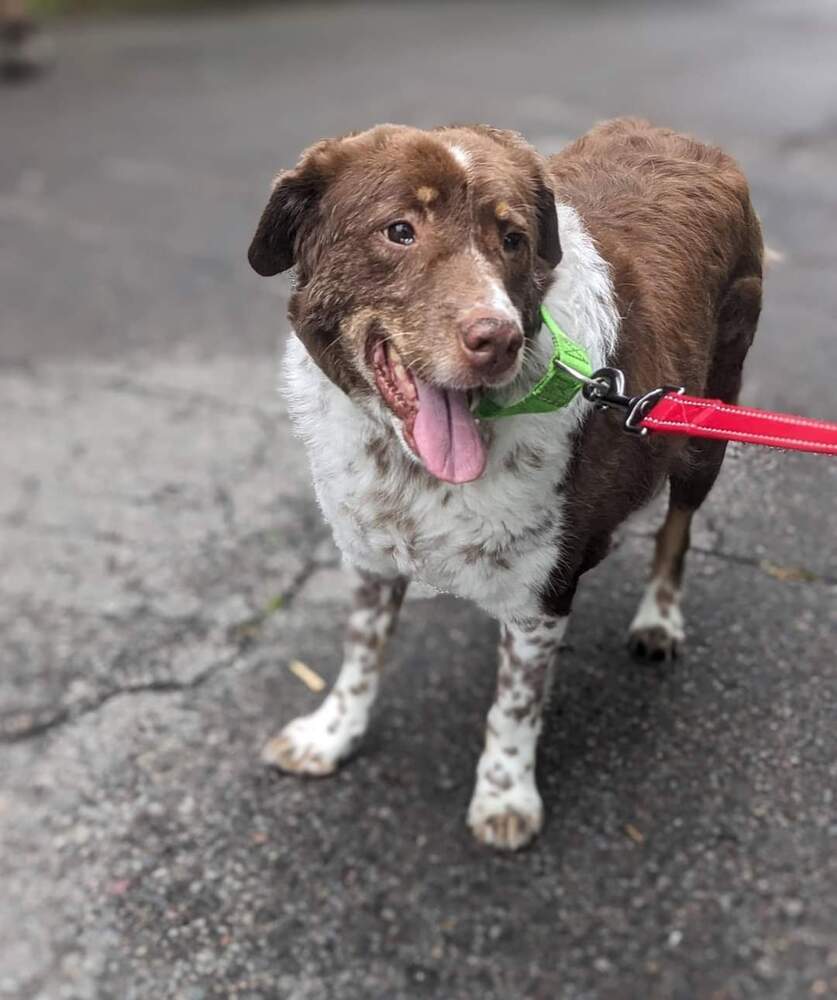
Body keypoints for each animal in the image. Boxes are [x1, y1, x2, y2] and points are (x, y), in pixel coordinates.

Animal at [248, 119, 764, 852]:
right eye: (399, 230)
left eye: (512, 238)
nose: (499, 339)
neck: (413, 468)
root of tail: (686, 139)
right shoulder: (370, 549)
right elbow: (360, 651)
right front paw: (332, 734)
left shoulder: (542, 592)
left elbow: (515, 704)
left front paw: (504, 795)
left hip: (705, 425)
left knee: (678, 529)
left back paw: (658, 620)